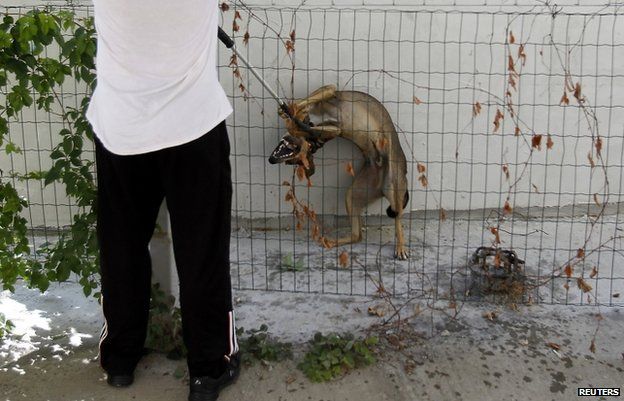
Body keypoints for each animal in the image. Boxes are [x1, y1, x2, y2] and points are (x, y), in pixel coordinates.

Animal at [268, 85, 410, 260]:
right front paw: (292, 117)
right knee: (357, 236)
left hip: (393, 188)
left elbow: (303, 111)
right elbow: (304, 124)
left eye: (294, 159)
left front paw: (292, 112)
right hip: (353, 195)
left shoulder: (329, 92)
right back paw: (332, 242)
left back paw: (401, 246)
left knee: (397, 219)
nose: (271, 160)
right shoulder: (334, 128)